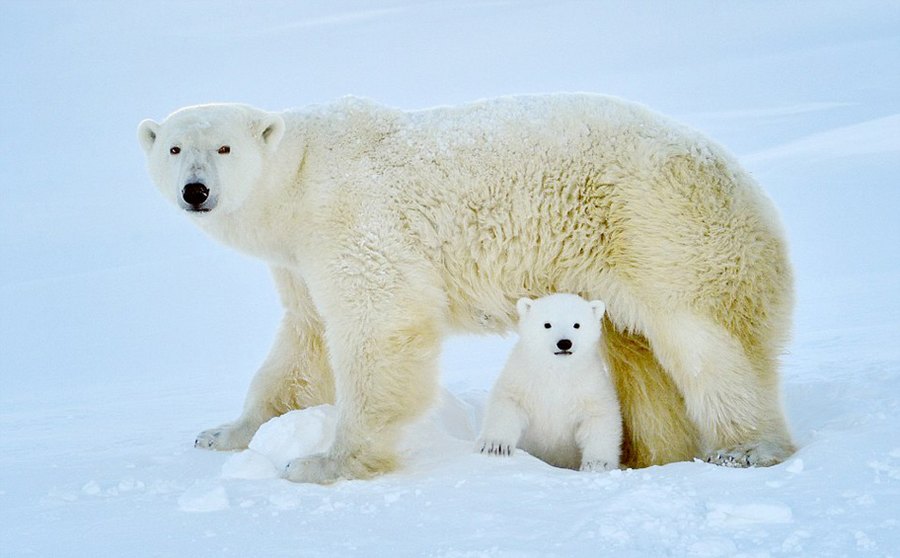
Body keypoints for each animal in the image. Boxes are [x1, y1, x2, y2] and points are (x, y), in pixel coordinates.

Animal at [478, 294, 620, 472]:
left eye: (577, 324)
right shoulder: (524, 377)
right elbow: (508, 404)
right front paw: (496, 447)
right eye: (547, 324)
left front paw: (597, 464)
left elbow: (599, 417)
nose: (564, 343)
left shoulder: (589, 385)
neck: (557, 371)